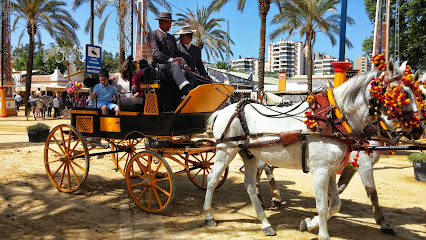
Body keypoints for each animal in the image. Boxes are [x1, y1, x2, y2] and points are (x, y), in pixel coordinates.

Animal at [204, 61, 420, 239]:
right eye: (403, 94)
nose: (419, 129)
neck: (334, 119)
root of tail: (225, 110)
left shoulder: (332, 171)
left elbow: (335, 204)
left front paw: (308, 223)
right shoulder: (322, 171)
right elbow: (324, 206)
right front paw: (322, 233)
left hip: (248, 153)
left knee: (249, 184)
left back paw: (265, 222)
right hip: (226, 149)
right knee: (213, 179)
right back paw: (209, 215)